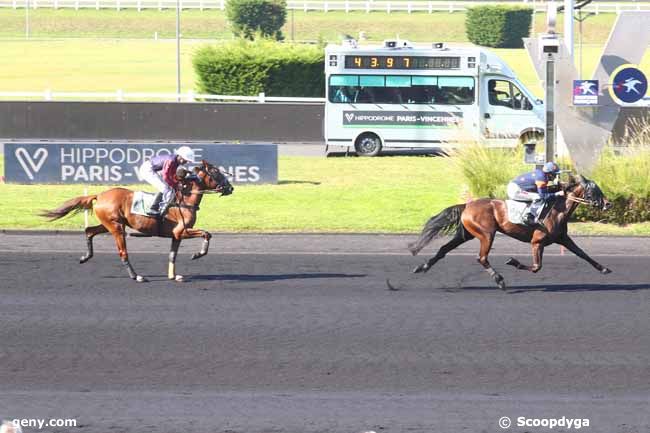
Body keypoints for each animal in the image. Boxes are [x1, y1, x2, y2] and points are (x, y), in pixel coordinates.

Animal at [41, 160, 233, 282]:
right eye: (215, 172)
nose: (230, 188)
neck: (184, 200)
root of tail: (100, 195)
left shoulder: (176, 235)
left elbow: (173, 255)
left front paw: (174, 276)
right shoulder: (182, 231)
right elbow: (207, 234)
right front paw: (197, 254)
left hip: (109, 224)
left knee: (89, 231)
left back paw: (85, 257)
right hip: (117, 227)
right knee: (123, 252)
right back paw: (136, 276)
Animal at [408, 174, 612, 288]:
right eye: (593, 191)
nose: (608, 204)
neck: (557, 209)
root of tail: (467, 205)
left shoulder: (563, 238)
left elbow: (583, 254)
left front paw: (604, 268)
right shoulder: (537, 242)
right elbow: (537, 267)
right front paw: (513, 261)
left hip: (465, 234)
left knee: (444, 249)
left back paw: (422, 267)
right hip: (486, 234)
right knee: (481, 258)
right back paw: (499, 280)